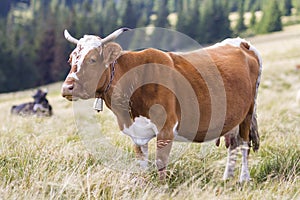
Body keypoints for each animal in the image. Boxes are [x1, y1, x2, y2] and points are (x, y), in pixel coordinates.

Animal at [61, 28, 262, 183]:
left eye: (92, 59)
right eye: (70, 60)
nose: (67, 87)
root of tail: (240, 42)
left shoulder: (166, 128)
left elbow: (160, 162)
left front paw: (163, 187)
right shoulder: (137, 133)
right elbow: (142, 163)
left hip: (248, 112)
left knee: (244, 145)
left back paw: (244, 179)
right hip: (233, 117)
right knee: (233, 145)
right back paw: (227, 178)